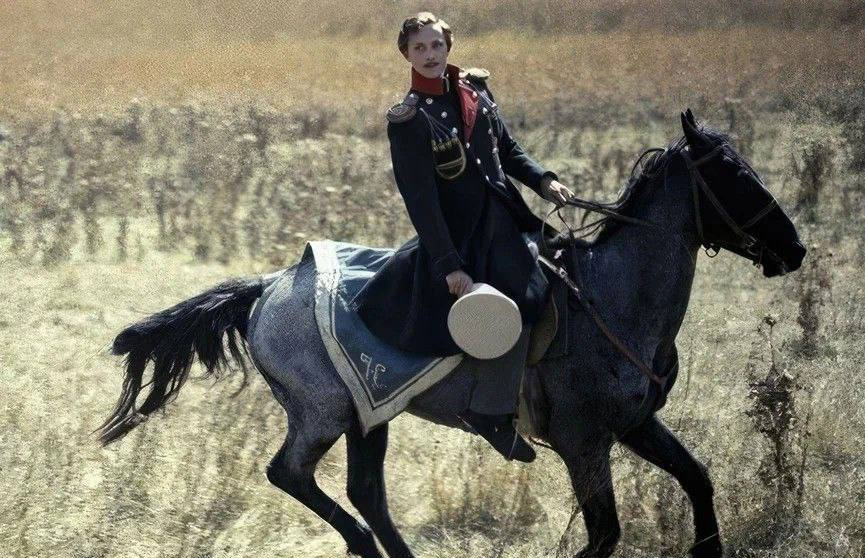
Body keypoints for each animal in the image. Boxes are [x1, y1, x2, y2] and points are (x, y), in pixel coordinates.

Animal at [96, 109, 806, 558]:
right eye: (735, 176)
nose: (794, 249)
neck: (615, 295)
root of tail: (268, 287)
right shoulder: (584, 443)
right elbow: (604, 534)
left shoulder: (633, 425)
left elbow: (697, 480)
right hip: (322, 414)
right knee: (290, 474)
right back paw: (360, 544)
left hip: (369, 414)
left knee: (366, 490)